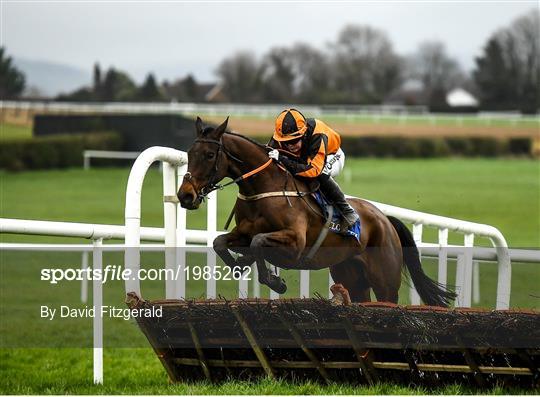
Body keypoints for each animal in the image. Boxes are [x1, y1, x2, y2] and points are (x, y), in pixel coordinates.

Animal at [178, 116, 456, 304]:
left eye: (210, 154)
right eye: (190, 153)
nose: (185, 195)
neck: (263, 188)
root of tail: (385, 220)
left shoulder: (295, 243)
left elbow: (258, 243)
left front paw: (275, 281)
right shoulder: (243, 233)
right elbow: (220, 242)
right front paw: (239, 265)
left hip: (385, 281)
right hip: (351, 276)